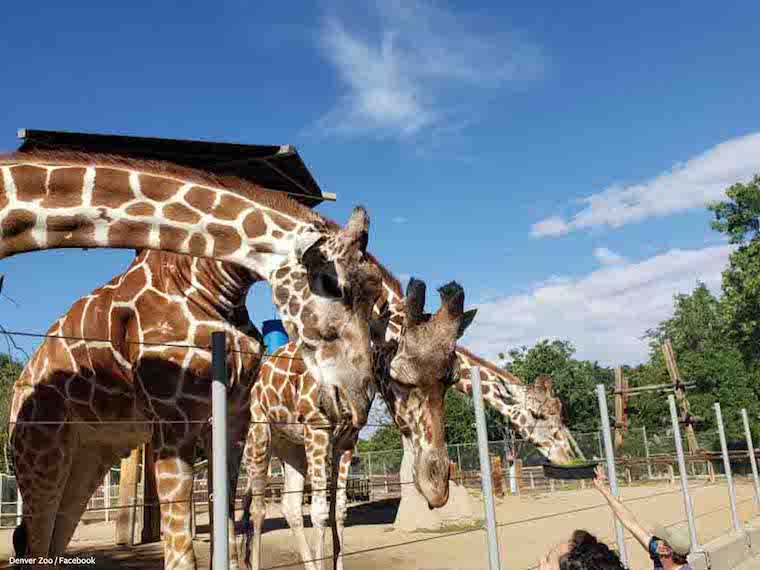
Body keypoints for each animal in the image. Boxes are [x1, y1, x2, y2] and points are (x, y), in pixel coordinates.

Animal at [0, 151, 386, 569]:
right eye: (331, 284)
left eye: (375, 296)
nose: (357, 404)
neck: (208, 287)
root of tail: (19, 386)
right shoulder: (174, 419)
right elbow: (182, 555)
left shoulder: (234, 416)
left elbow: (227, 536)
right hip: (41, 453)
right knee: (36, 543)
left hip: (87, 458)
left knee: (52, 544)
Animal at [239, 278, 475, 570]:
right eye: (399, 377)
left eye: (452, 379)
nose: (437, 489)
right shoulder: (318, 431)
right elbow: (319, 513)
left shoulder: (347, 441)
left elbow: (338, 511)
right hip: (259, 437)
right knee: (257, 508)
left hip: (290, 447)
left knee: (289, 506)